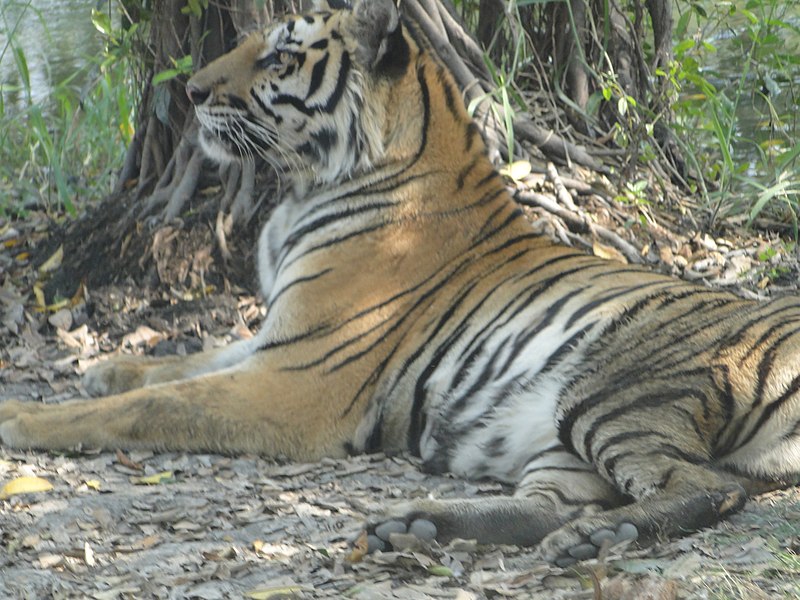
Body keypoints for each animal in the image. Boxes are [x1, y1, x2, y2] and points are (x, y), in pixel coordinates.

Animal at [1, 0, 800, 568]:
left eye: (279, 55)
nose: (191, 91)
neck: (311, 187)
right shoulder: (281, 336)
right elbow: (182, 361)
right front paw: (104, 367)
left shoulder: (301, 376)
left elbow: (156, 405)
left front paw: (23, 416)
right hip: (562, 437)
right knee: (561, 504)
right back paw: (422, 526)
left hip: (610, 382)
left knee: (707, 486)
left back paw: (600, 541)